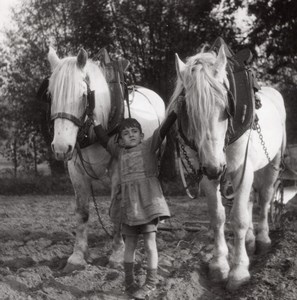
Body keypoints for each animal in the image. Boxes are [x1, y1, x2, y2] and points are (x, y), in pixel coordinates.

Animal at [45, 47, 164, 272]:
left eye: (83, 95)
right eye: (50, 94)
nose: (61, 148)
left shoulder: (118, 167)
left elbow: (116, 209)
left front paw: (117, 255)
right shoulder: (75, 169)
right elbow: (82, 212)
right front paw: (77, 256)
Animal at [166, 45, 284, 290]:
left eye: (225, 108)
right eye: (188, 112)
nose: (215, 167)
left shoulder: (242, 170)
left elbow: (238, 218)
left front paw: (238, 271)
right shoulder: (206, 174)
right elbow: (217, 216)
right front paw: (219, 264)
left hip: (272, 162)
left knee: (265, 198)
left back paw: (263, 239)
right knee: (250, 200)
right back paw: (250, 240)